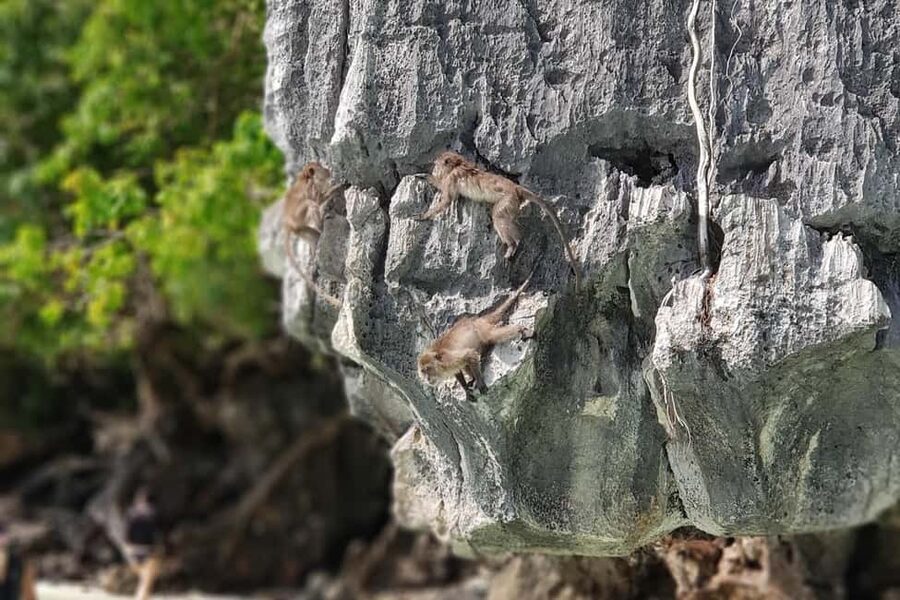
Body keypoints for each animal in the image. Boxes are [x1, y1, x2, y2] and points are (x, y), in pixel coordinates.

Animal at [281, 161, 347, 308]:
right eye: (321, 168)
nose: (328, 170)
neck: (307, 178)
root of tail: (287, 224)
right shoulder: (312, 188)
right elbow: (319, 199)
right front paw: (339, 186)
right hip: (298, 218)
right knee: (310, 203)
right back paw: (322, 223)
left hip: (300, 229)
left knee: (313, 236)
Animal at [417, 151, 582, 288]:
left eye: (437, 164)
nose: (434, 169)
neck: (458, 165)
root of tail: (516, 188)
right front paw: (424, 176)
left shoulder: (452, 178)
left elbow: (447, 200)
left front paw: (423, 216)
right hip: (513, 205)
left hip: (507, 201)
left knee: (498, 217)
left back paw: (513, 244)